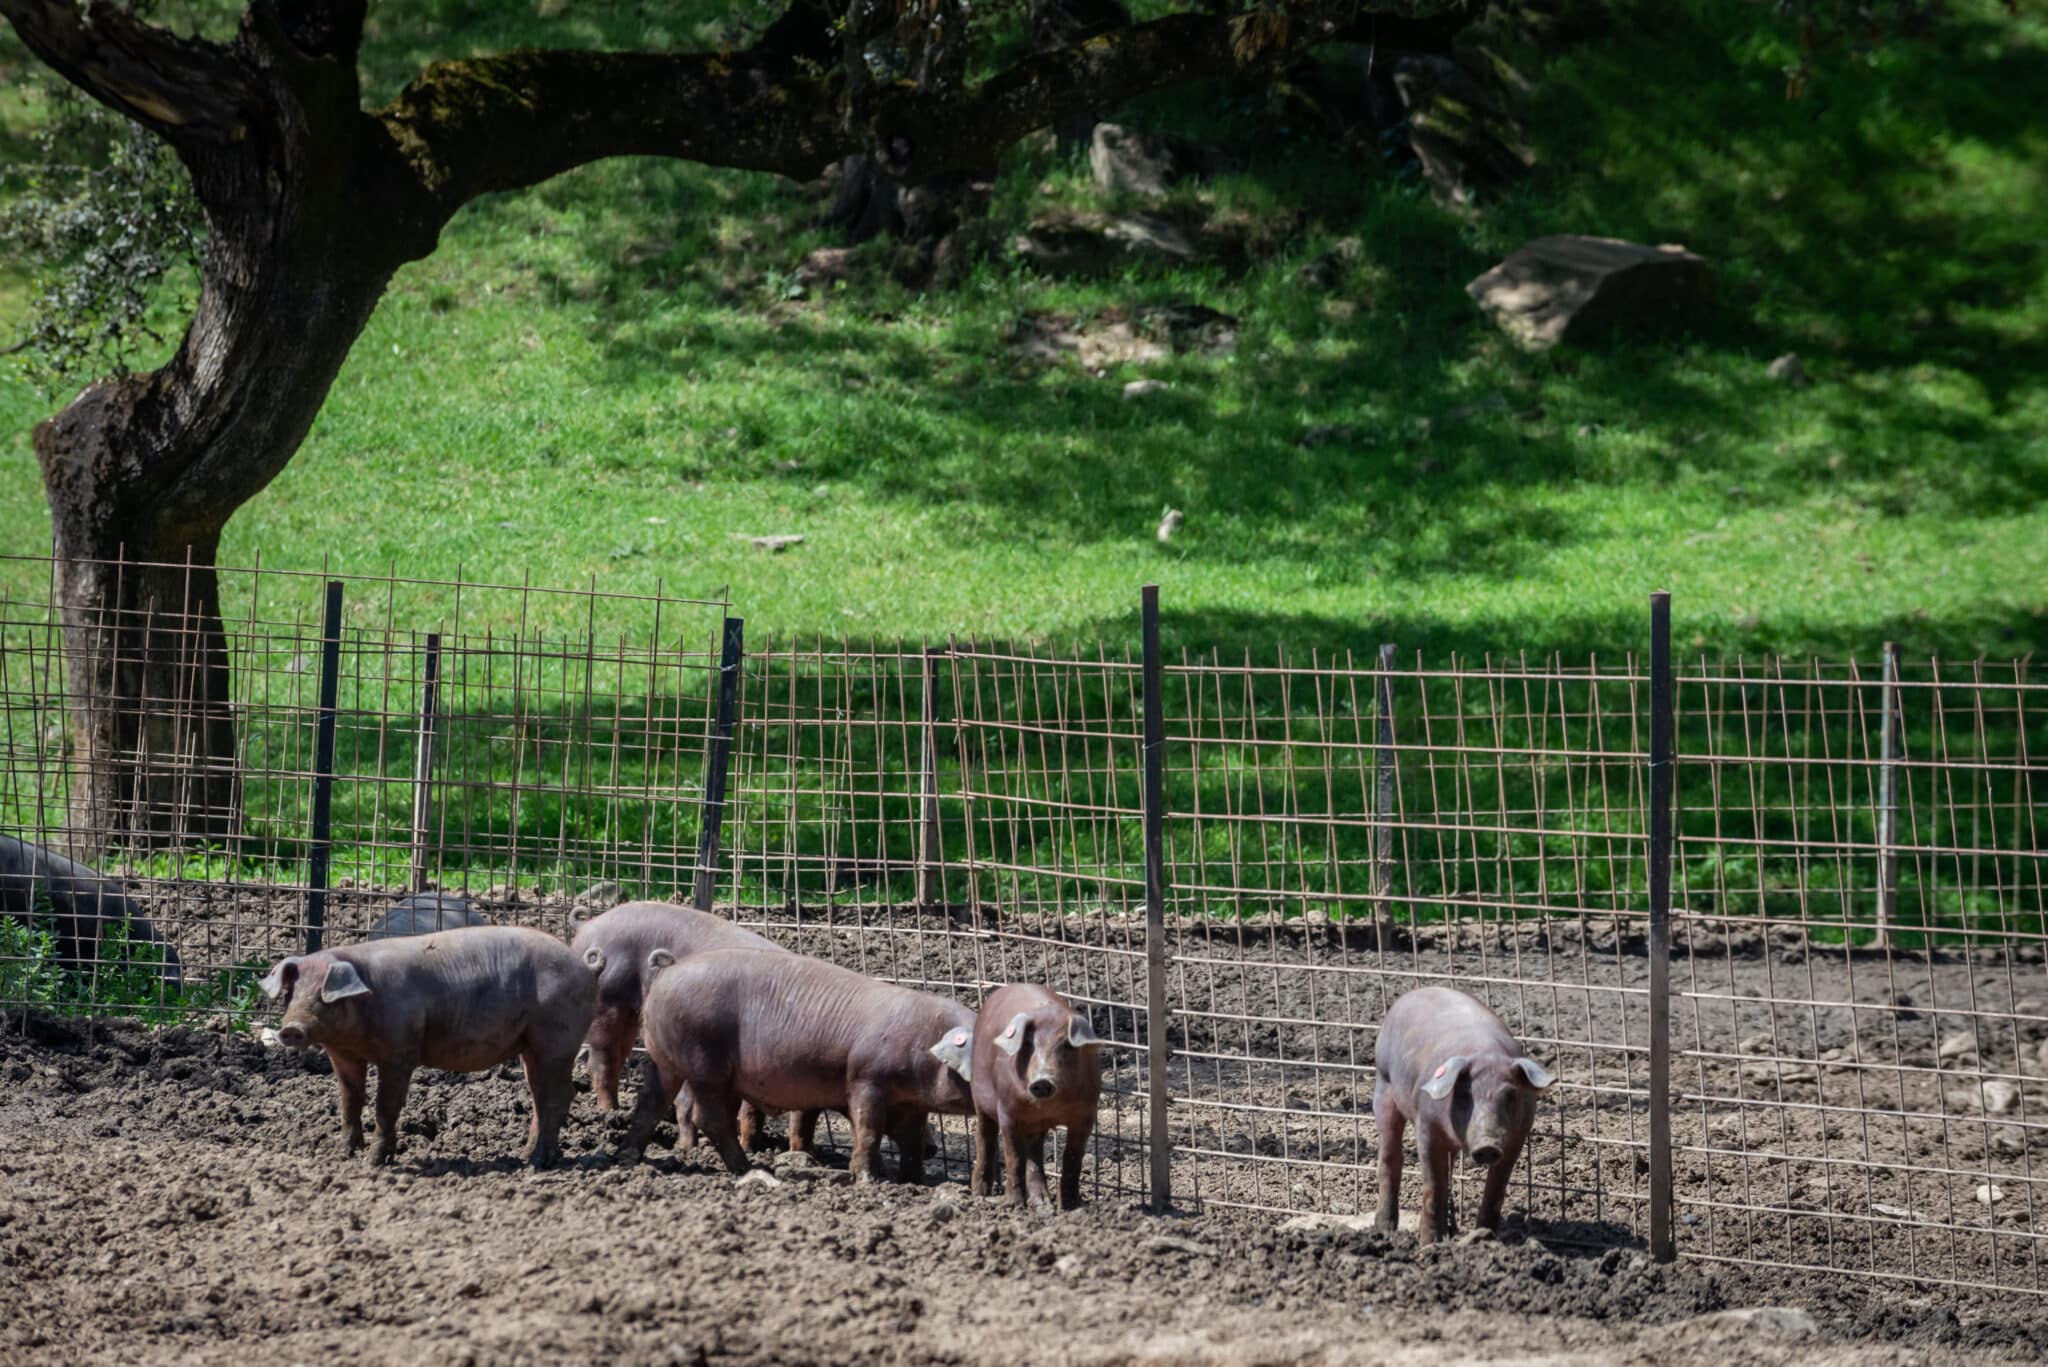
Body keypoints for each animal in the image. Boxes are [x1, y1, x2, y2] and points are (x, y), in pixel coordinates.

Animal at [260, 926, 598, 1172]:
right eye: (291, 993)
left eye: (323, 996)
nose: (291, 1029)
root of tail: (583, 967)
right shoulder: (343, 1056)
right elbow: (349, 1100)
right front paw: (343, 1154)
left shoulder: (400, 1053)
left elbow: (386, 1106)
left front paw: (374, 1163)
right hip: (532, 1048)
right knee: (542, 1097)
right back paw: (527, 1155)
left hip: (556, 1041)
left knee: (558, 1096)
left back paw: (537, 1163)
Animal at [622, 946, 974, 1180]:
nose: (935, 1149)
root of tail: (668, 969)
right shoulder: (866, 1079)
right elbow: (868, 1129)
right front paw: (868, 1179)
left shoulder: (910, 1104)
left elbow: (909, 1138)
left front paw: (916, 1181)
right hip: (704, 1064)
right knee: (708, 1116)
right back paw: (748, 1169)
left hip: (665, 1060)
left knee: (650, 1101)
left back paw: (627, 1157)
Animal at [937, 983, 1105, 1205]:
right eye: (1028, 1044)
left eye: (1067, 1045)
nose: (1042, 1080)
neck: (1048, 1107)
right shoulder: (1007, 1111)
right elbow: (1014, 1157)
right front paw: (1014, 1205)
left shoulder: (1086, 1115)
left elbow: (1072, 1158)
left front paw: (1070, 1206)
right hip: (980, 1100)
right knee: (985, 1138)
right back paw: (980, 1194)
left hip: (1035, 1125)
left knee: (1035, 1152)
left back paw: (1041, 1202)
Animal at [1376, 987, 1548, 1246]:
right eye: (1466, 1093)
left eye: (1510, 1094)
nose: (1488, 1145)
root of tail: (1412, 993)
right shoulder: (1427, 1126)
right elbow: (1433, 1186)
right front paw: (1428, 1246)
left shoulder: (1517, 1137)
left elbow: (1496, 1190)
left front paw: (1485, 1238)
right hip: (1383, 1082)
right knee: (1390, 1157)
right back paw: (1385, 1231)